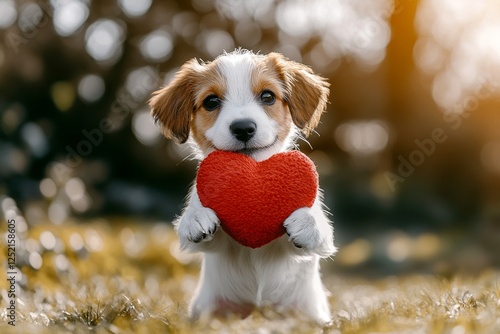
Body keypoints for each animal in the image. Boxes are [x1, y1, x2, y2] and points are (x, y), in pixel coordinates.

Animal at [148, 49, 336, 324]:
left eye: (268, 96)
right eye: (211, 102)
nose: (243, 128)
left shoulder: (315, 246)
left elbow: (318, 226)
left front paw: (307, 222)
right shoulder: (210, 245)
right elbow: (197, 221)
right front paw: (195, 217)